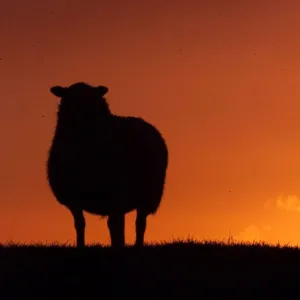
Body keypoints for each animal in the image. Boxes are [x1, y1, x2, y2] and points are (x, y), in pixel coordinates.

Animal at [47, 81, 169, 248]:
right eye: (69, 97)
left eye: (91, 98)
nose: (81, 115)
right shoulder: (73, 198)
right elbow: (80, 224)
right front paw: (80, 246)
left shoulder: (115, 194)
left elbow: (114, 225)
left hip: (146, 194)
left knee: (138, 223)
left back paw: (135, 245)